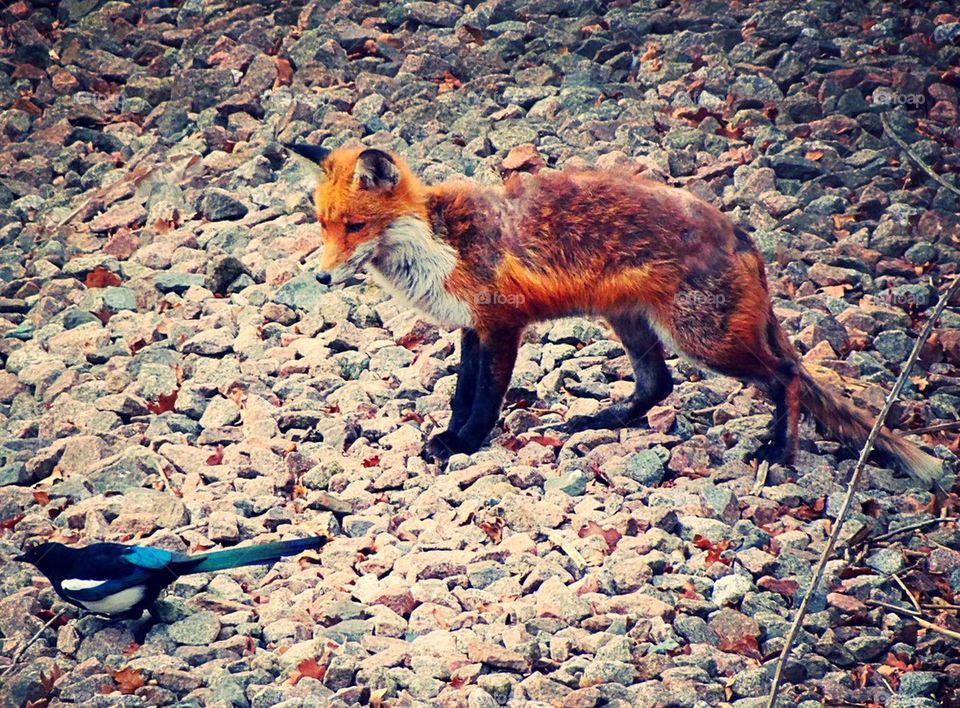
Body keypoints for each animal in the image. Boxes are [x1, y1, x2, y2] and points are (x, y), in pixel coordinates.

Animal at [283, 141, 944, 487]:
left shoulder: (501, 324)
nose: (320, 277)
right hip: (633, 325)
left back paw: (778, 453)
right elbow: (460, 392)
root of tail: (739, 231)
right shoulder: (473, 326)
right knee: (658, 385)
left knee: (785, 378)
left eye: (355, 226)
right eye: (322, 223)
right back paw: (601, 421)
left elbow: (485, 400)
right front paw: (450, 435)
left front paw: (465, 445)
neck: (439, 242)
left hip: (703, 339)